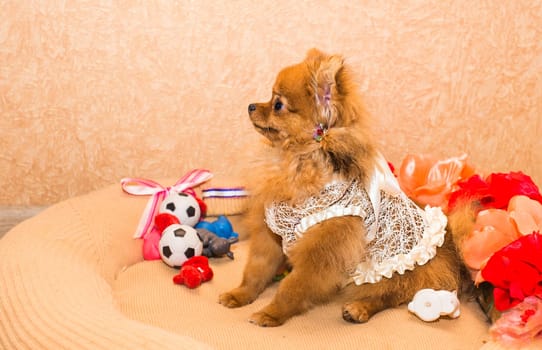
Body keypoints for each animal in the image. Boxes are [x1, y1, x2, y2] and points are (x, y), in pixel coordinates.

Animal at [221, 47, 464, 326]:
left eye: (278, 104)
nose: (251, 105)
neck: (294, 163)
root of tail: (448, 247)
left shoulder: (321, 251)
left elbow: (293, 286)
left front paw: (272, 313)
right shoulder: (271, 234)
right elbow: (256, 270)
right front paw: (240, 295)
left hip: (395, 270)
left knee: (391, 294)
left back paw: (360, 308)